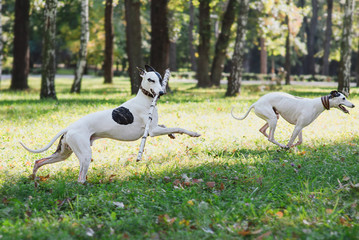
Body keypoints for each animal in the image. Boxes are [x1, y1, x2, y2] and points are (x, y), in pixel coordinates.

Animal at [21, 64, 201, 183]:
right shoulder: (152, 131)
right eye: (150, 80)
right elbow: (178, 127)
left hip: (63, 153)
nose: (162, 92)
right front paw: (193, 133)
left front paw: (171, 135)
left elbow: (166, 126)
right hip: (85, 155)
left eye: (160, 78)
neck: (144, 100)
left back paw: (34, 177)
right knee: (80, 178)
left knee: (39, 161)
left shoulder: (155, 128)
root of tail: (69, 128)